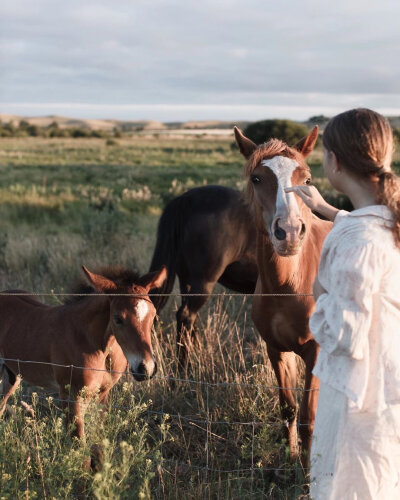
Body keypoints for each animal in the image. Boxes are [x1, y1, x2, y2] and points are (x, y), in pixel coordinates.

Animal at [0, 264, 166, 440]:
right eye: (118, 318)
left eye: (153, 314)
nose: (146, 368)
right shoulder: (71, 395)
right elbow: (79, 441)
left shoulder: (102, 394)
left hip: (12, 375)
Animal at [234, 126, 332, 460]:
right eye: (256, 178)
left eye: (308, 180)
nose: (288, 233)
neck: (288, 286)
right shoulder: (277, 349)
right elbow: (288, 410)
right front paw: (290, 457)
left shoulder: (316, 352)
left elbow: (308, 421)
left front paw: (308, 472)